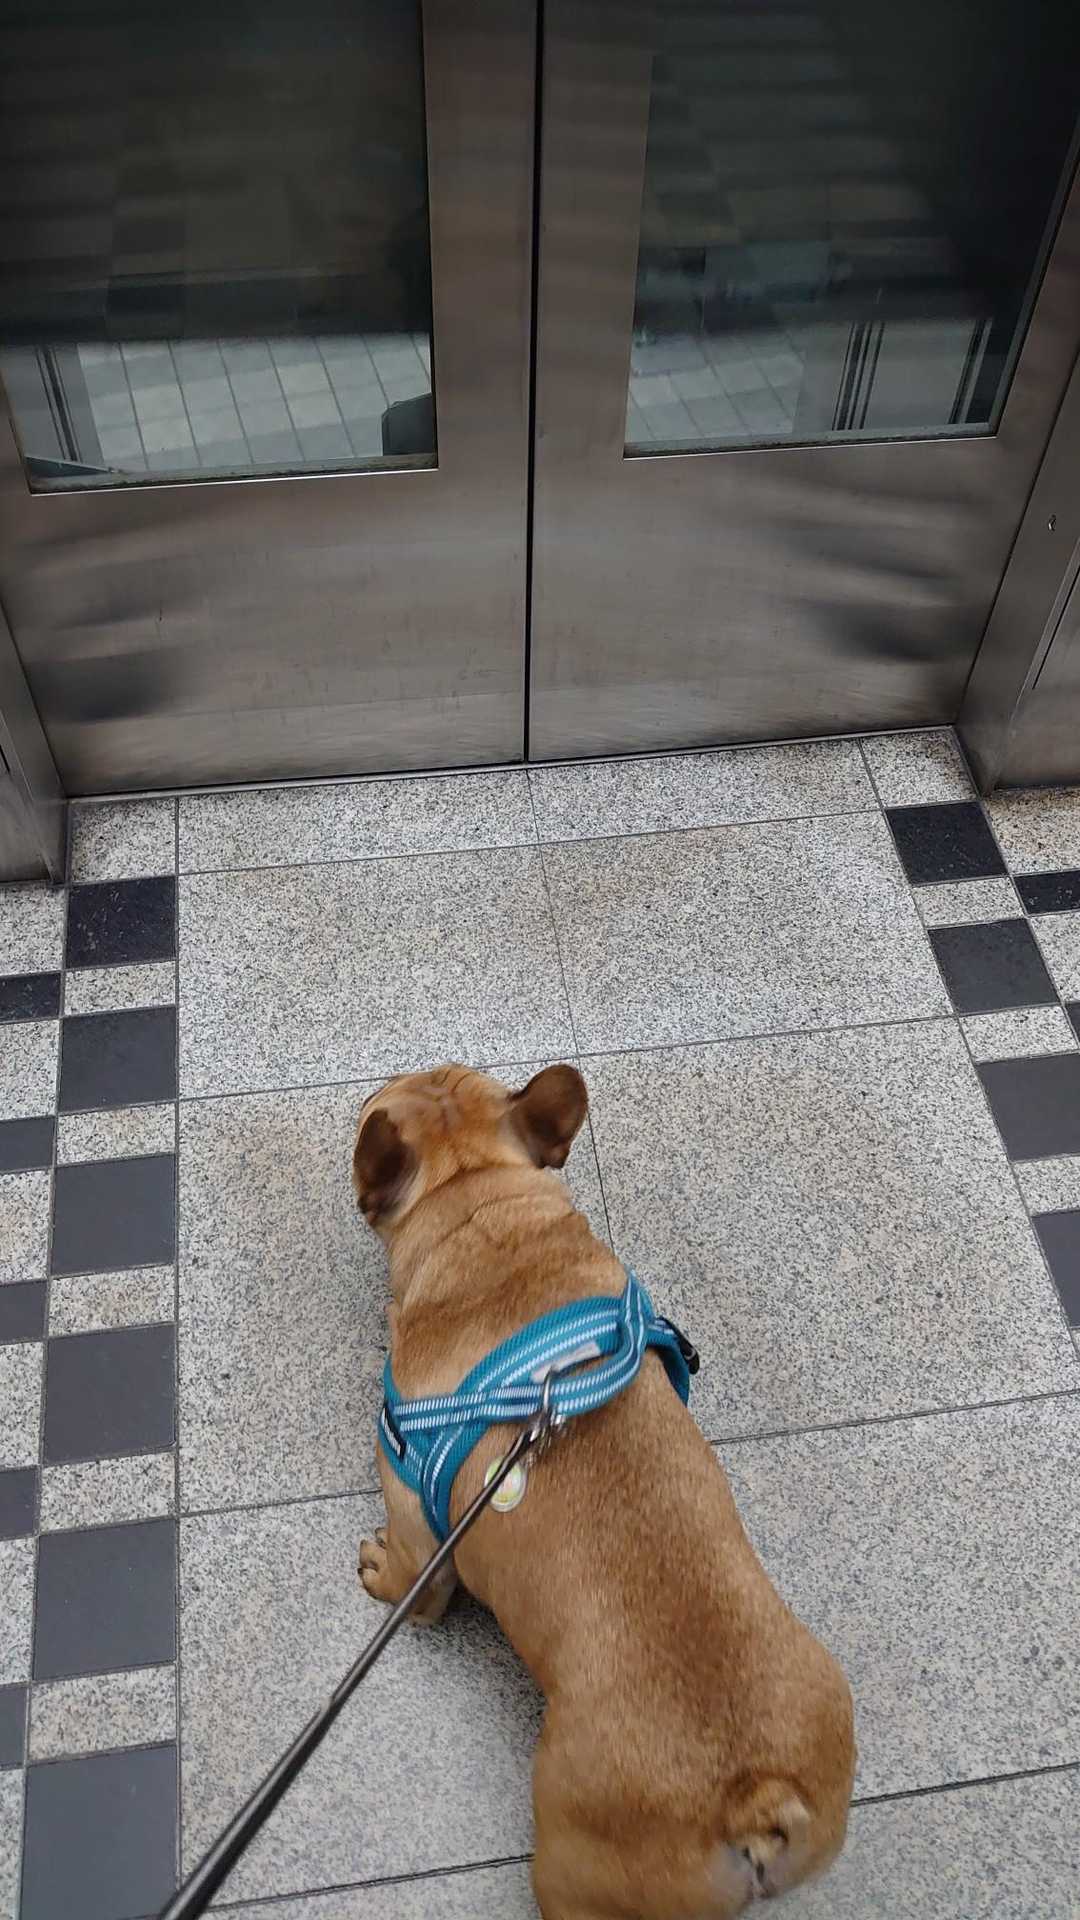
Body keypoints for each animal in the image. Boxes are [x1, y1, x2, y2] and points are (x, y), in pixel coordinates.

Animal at [353, 1063, 855, 1918]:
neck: (484, 1222)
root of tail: (752, 1794)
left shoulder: (422, 1527)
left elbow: (411, 1589)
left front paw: (378, 1570)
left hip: (572, 1866)